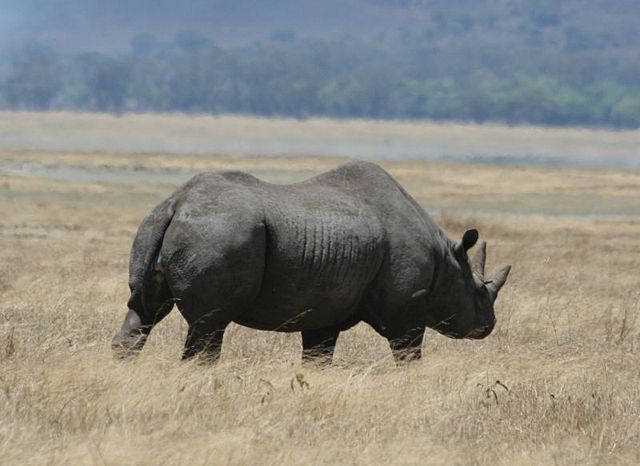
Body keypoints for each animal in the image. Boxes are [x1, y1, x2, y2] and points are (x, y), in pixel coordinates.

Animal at [111, 162, 510, 362]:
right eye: (479, 291)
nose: (488, 326)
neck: (447, 261)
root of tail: (177, 203)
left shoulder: (325, 310)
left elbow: (318, 356)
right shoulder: (405, 310)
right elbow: (408, 352)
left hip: (155, 225)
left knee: (145, 310)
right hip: (221, 231)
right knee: (209, 325)